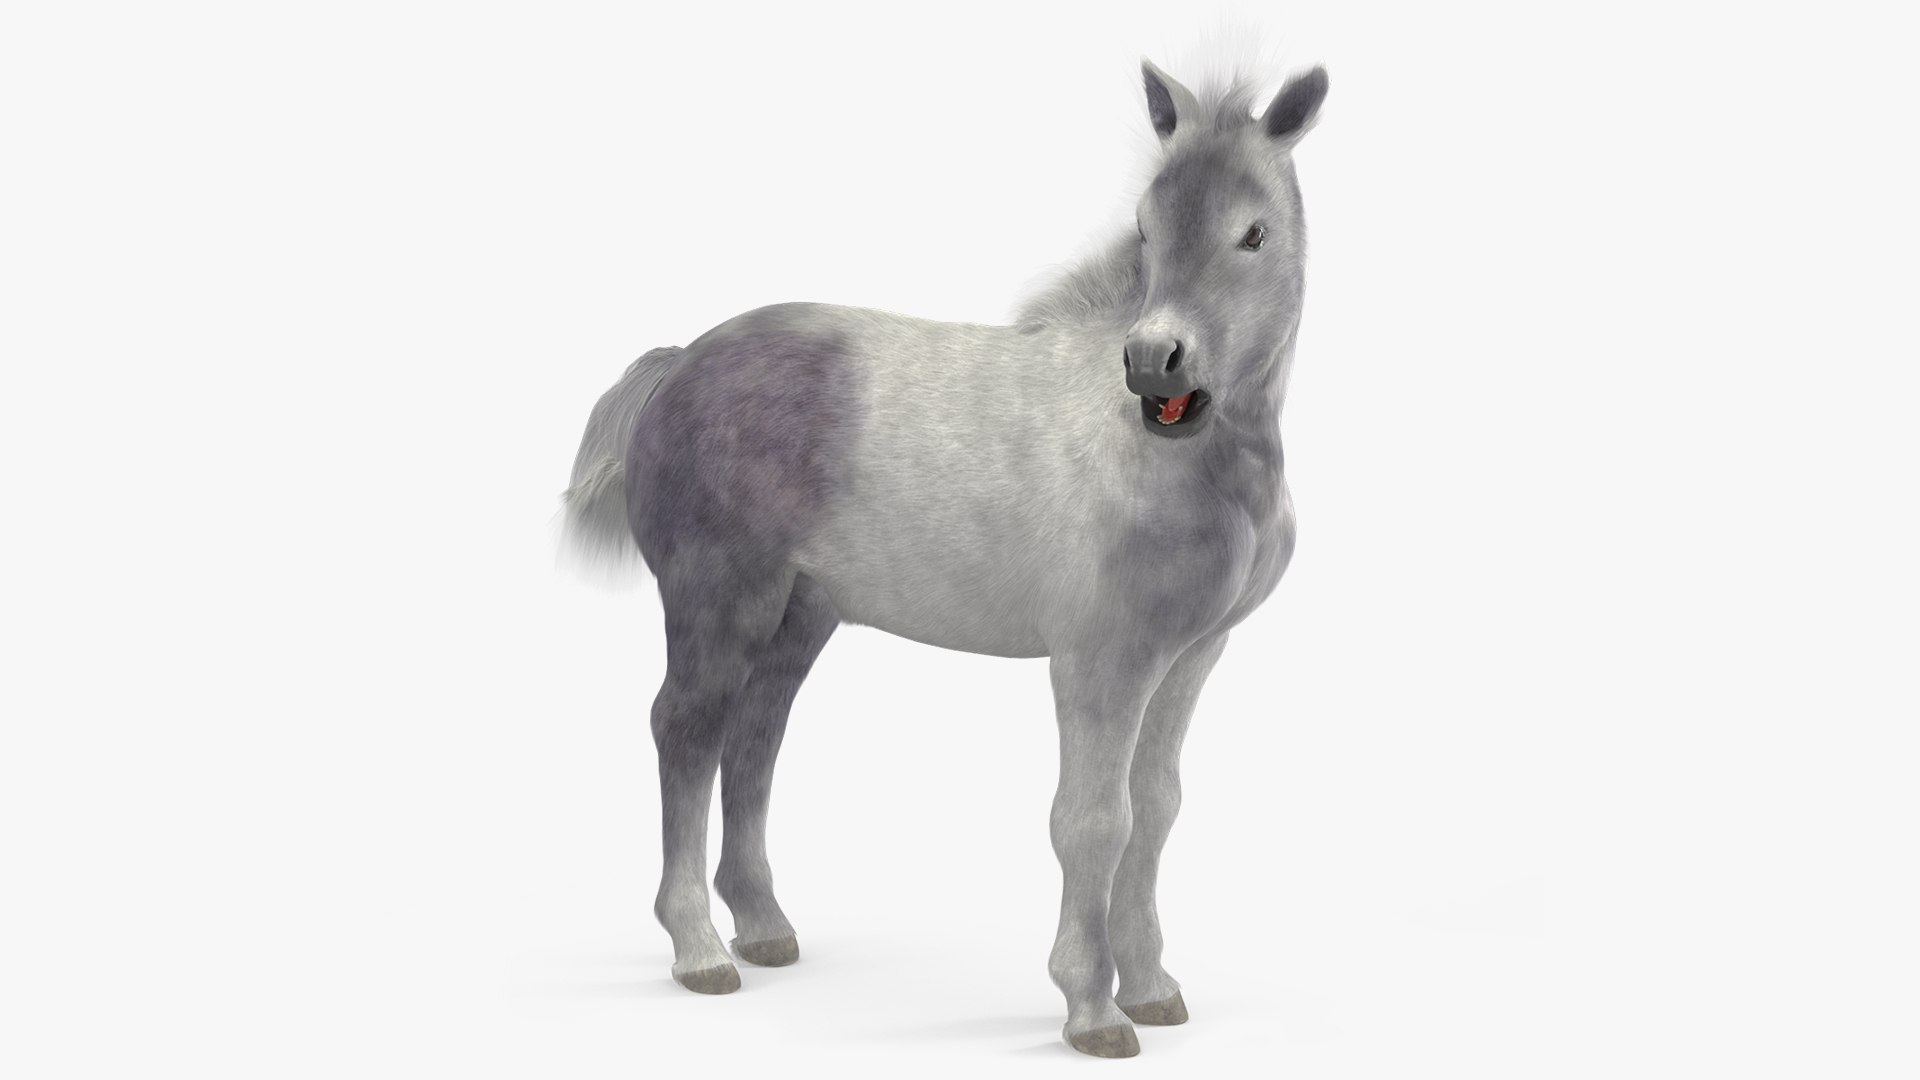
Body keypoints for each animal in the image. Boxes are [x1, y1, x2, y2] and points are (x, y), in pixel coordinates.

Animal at [559, 59, 1328, 1058]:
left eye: (1253, 233)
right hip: (718, 599)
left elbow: (1156, 810)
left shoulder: (1191, 655)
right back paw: (699, 949)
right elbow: (1094, 820)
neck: (1173, 460)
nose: (1156, 364)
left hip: (800, 612)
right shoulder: (1100, 661)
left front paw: (1154, 988)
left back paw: (762, 927)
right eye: (1147, 227)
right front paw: (1093, 1009)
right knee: (686, 733)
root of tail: (682, 361)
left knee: (755, 736)